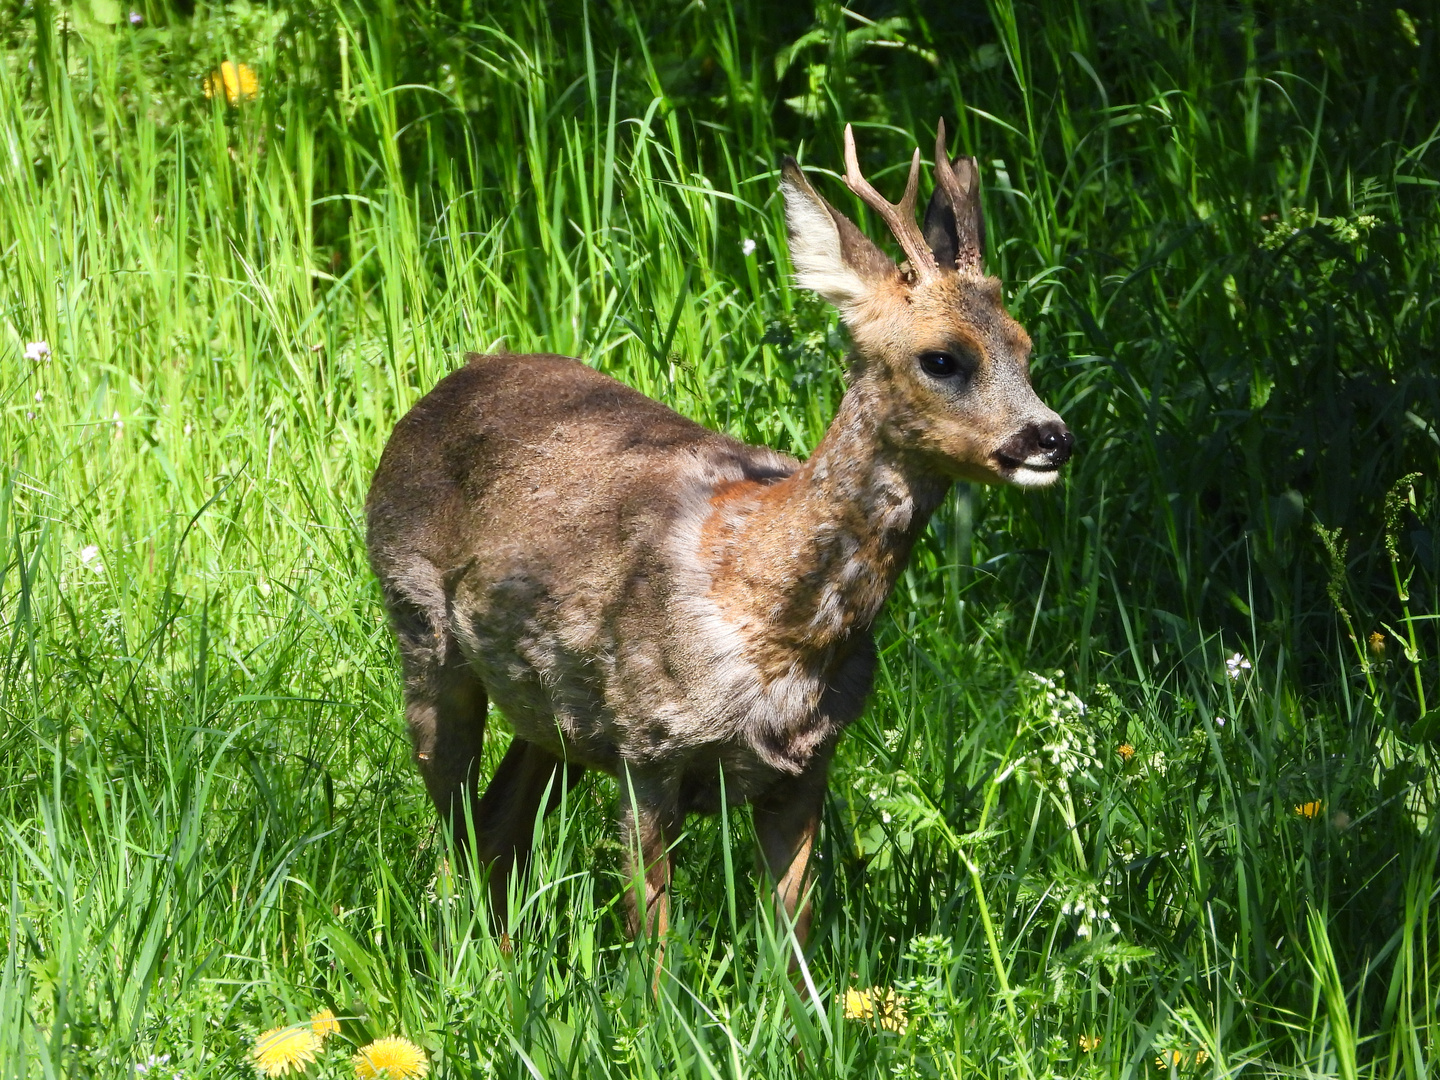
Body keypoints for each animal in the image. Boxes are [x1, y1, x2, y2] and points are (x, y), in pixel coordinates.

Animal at [365, 122, 1077, 961]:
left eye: (1024, 346)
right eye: (942, 357)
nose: (1051, 438)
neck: (770, 619)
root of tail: (435, 395)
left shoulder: (806, 768)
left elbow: (793, 943)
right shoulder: (647, 748)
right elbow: (653, 951)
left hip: (551, 715)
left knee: (498, 823)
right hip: (420, 628)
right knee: (453, 828)